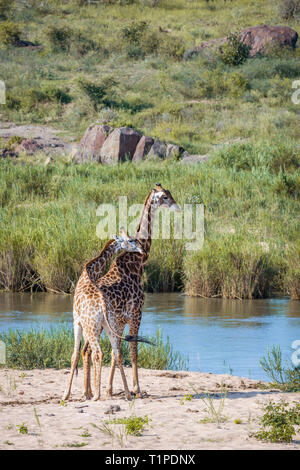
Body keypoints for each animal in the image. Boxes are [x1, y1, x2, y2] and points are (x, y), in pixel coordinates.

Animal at [62, 229, 144, 402]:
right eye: (130, 240)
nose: (141, 249)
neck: (88, 274)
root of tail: (103, 306)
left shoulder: (76, 320)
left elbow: (74, 355)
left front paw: (66, 394)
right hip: (109, 325)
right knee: (116, 353)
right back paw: (127, 394)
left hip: (92, 326)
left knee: (98, 352)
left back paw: (97, 395)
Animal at [79, 184, 180, 400]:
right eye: (165, 197)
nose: (177, 208)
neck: (138, 262)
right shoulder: (136, 313)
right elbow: (133, 351)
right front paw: (137, 389)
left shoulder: (120, 320)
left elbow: (115, 353)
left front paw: (109, 389)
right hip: (98, 324)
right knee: (90, 350)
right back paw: (90, 392)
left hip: (93, 325)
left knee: (86, 350)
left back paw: (88, 392)